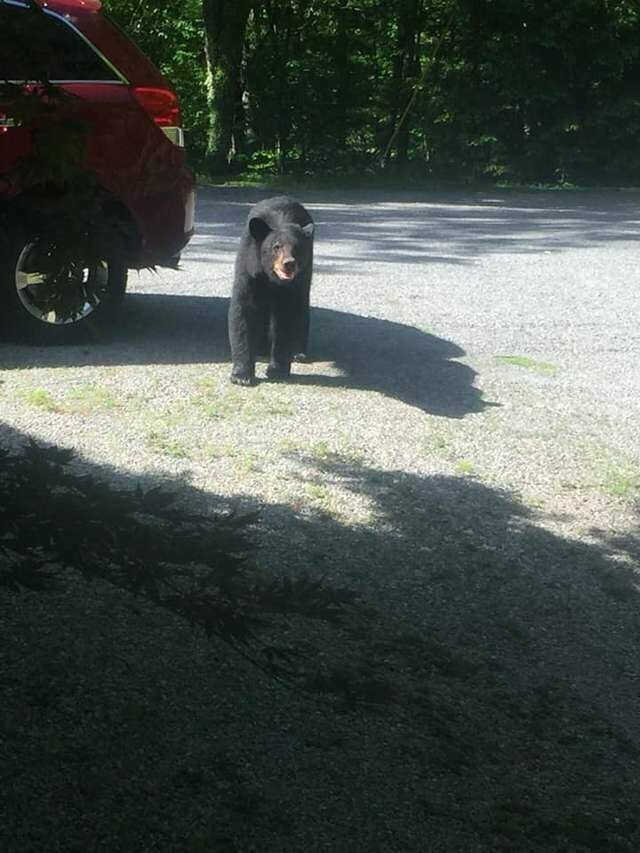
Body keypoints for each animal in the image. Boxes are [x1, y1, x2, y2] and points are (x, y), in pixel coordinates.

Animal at [228, 195, 316, 384]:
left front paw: (277, 370)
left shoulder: (291, 286)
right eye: (276, 246)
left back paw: (299, 352)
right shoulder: (248, 269)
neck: (272, 279)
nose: (289, 263)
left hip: (305, 274)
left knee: (302, 306)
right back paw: (260, 348)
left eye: (297, 248)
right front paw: (241, 375)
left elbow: (286, 318)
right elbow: (243, 311)